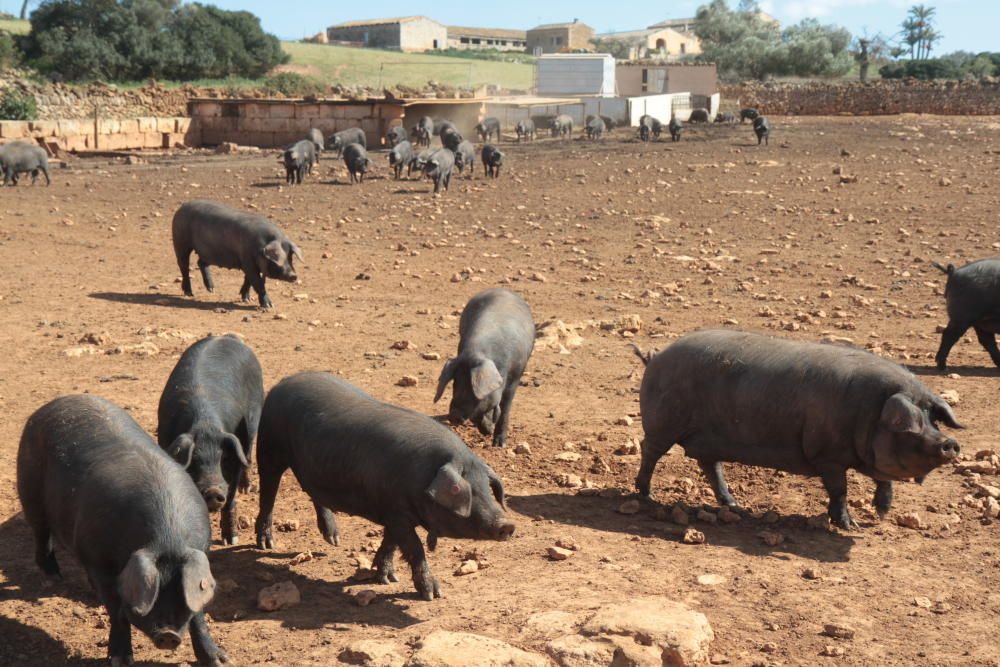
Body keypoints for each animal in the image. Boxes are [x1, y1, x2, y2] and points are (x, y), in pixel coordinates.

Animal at [19, 396, 227, 667]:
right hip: (29, 489)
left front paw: (219, 660)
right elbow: (117, 611)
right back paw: (54, 577)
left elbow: (198, 613)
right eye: (153, 591)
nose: (168, 635)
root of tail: (52, 404)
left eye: (178, 594)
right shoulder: (99, 561)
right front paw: (120, 660)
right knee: (41, 533)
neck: (166, 539)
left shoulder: (201, 558)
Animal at [256, 374, 516, 604]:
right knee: (268, 493)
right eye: (469, 492)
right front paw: (433, 594)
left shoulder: (393, 511)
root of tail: (283, 383)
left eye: (487, 490)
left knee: (314, 494)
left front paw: (387, 578)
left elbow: (391, 543)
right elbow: (415, 548)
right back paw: (266, 544)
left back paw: (334, 539)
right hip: (269, 447)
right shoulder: (397, 511)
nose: (507, 525)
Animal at [632, 332, 960, 528]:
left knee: (711, 466)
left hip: (706, 438)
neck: (869, 413)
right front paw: (849, 525)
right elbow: (840, 490)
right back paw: (647, 496)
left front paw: (879, 515)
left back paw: (735, 505)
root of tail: (655, 356)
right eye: (913, 424)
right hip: (662, 424)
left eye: (933, 419)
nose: (951, 444)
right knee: (650, 452)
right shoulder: (827, 456)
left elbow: (884, 481)